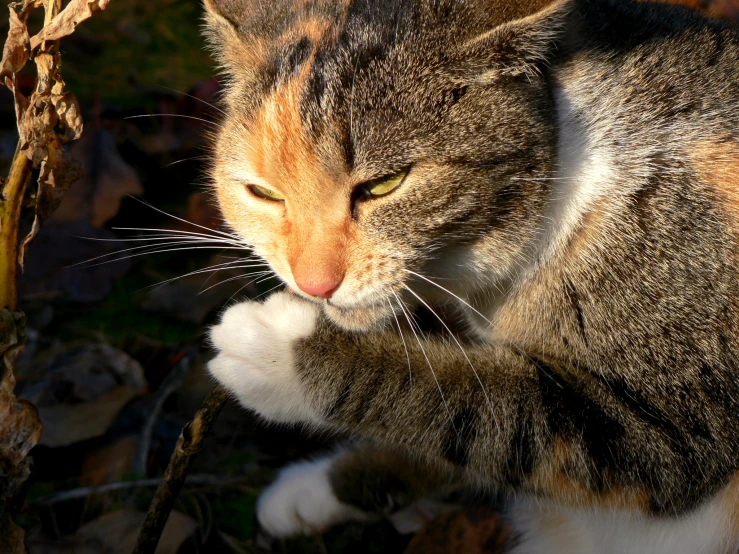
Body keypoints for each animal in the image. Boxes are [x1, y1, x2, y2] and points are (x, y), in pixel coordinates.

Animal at [199, 2, 739, 548]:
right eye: (263, 193)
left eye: (384, 184)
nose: (313, 283)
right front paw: (312, 492)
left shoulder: (665, 426)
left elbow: (471, 404)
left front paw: (280, 353)